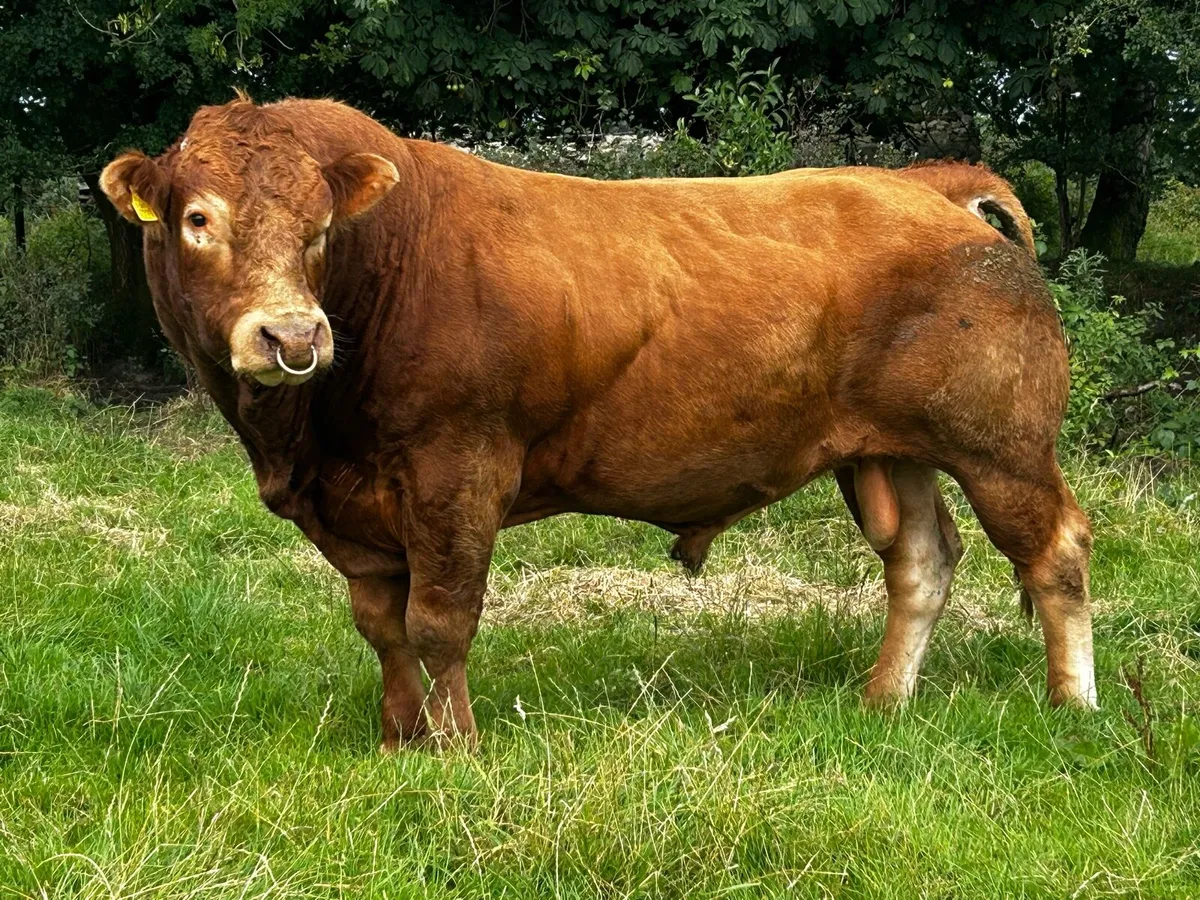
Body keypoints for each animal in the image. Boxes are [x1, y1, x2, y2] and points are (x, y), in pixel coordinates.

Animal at [100, 95, 1095, 749]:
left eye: (317, 228)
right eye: (197, 219)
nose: (294, 335)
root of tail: (925, 183)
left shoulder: (457, 474)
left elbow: (439, 621)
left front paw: (454, 749)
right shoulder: (357, 508)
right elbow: (382, 626)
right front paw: (396, 738)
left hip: (1001, 445)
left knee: (1056, 551)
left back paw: (1073, 707)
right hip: (892, 452)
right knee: (922, 561)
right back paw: (883, 702)